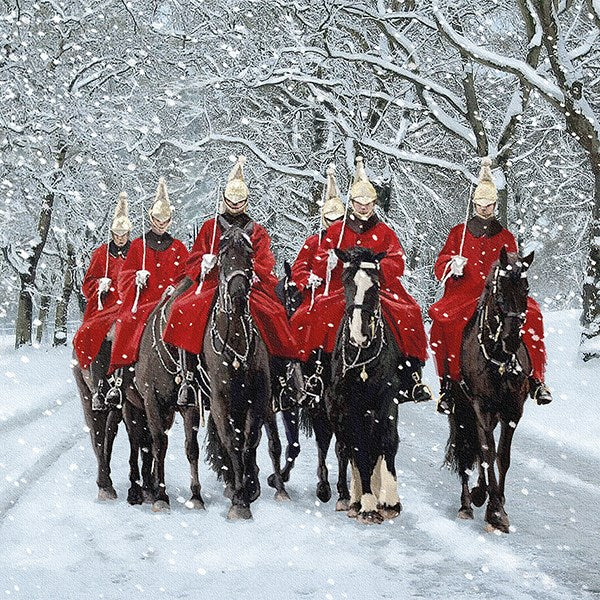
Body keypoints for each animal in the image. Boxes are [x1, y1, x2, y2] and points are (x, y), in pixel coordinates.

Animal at [203, 220, 290, 520]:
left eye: (250, 255)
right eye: (223, 253)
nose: (239, 292)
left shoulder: (258, 397)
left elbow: (251, 440)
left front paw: (248, 490)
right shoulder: (221, 401)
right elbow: (232, 442)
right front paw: (239, 498)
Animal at [328, 246, 418, 524]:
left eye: (376, 285)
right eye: (346, 281)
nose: (361, 333)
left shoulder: (388, 400)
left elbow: (387, 442)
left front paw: (389, 500)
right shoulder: (351, 405)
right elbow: (358, 448)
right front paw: (367, 503)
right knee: (345, 449)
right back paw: (351, 499)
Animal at [446, 246, 536, 532]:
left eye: (526, 288)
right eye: (499, 290)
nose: (511, 338)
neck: (498, 357)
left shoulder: (512, 412)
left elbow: (502, 456)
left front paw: (498, 503)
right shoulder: (481, 408)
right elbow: (487, 452)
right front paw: (494, 511)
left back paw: (479, 492)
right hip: (460, 411)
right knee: (467, 451)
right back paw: (467, 502)